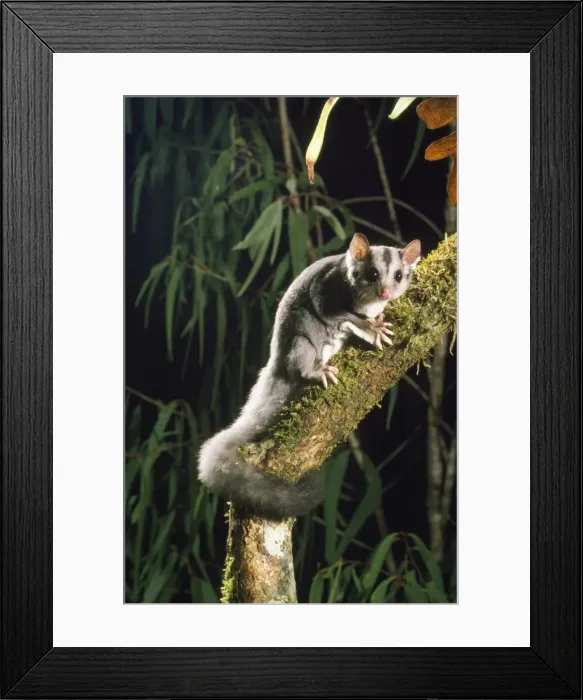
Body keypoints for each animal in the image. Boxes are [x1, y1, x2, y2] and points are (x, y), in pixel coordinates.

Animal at [197, 232, 421, 520]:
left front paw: (375, 323)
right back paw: (317, 369)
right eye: (372, 274)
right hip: (299, 345)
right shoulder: (328, 287)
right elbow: (335, 311)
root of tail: (275, 364)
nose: (385, 292)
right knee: (301, 354)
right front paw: (373, 328)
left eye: (398, 275)